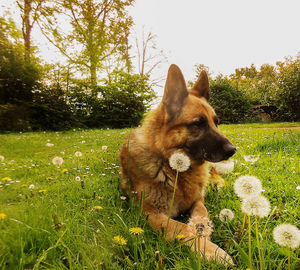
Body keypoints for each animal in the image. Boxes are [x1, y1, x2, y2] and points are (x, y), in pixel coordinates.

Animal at [119, 63, 237, 264]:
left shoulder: (198, 200)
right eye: (198, 123)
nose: (233, 150)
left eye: (216, 122)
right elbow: (181, 228)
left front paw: (204, 233)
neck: (173, 167)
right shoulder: (151, 213)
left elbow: (200, 216)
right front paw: (210, 249)